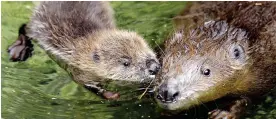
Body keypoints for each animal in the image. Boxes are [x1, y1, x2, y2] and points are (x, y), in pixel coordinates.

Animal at [7, 1, 160, 99]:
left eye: (145, 48)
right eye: (126, 63)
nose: (154, 67)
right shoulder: (76, 66)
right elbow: (83, 82)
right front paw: (111, 95)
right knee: (24, 27)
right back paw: (18, 51)